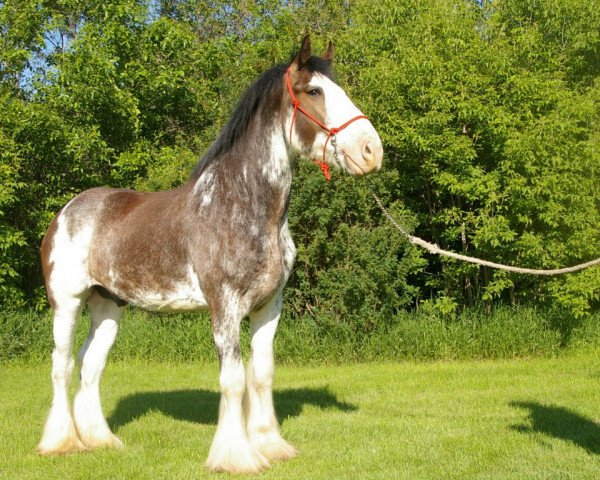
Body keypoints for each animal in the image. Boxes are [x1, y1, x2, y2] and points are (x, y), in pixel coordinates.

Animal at [38, 35, 384, 474]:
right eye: (314, 91)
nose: (372, 151)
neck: (240, 205)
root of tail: (67, 211)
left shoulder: (268, 307)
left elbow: (262, 374)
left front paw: (270, 445)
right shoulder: (225, 307)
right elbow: (233, 379)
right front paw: (236, 456)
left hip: (109, 306)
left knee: (90, 364)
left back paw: (100, 440)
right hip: (67, 303)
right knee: (62, 366)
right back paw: (61, 442)